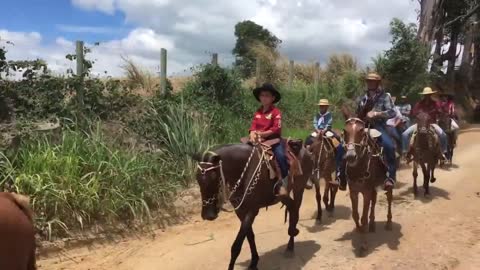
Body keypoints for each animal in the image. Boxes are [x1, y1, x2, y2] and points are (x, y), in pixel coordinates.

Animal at [194, 140, 316, 270]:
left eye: (214, 177)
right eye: (197, 178)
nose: (208, 215)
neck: (243, 170)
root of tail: (306, 150)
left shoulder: (252, 210)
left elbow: (236, 246)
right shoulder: (240, 211)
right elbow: (250, 236)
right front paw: (254, 262)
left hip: (299, 189)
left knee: (296, 211)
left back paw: (290, 246)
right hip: (283, 196)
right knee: (292, 207)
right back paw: (292, 233)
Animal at [340, 107, 392, 236]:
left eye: (361, 130)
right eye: (345, 130)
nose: (350, 156)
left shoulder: (366, 192)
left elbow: (363, 218)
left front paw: (363, 238)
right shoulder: (354, 191)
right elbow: (355, 215)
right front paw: (359, 230)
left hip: (387, 183)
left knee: (389, 197)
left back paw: (389, 223)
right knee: (374, 201)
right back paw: (372, 224)